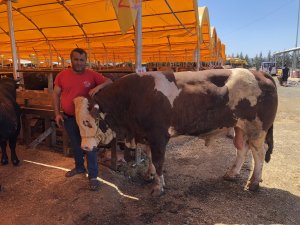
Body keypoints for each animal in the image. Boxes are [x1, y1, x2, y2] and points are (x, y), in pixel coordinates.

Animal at [74, 68, 278, 195]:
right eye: (77, 123)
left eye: (88, 122)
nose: (85, 147)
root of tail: (260, 73)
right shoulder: (145, 136)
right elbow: (150, 157)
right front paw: (149, 175)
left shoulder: (158, 135)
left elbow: (158, 160)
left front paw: (158, 187)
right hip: (239, 127)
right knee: (241, 149)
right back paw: (232, 174)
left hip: (257, 130)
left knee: (258, 154)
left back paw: (253, 183)